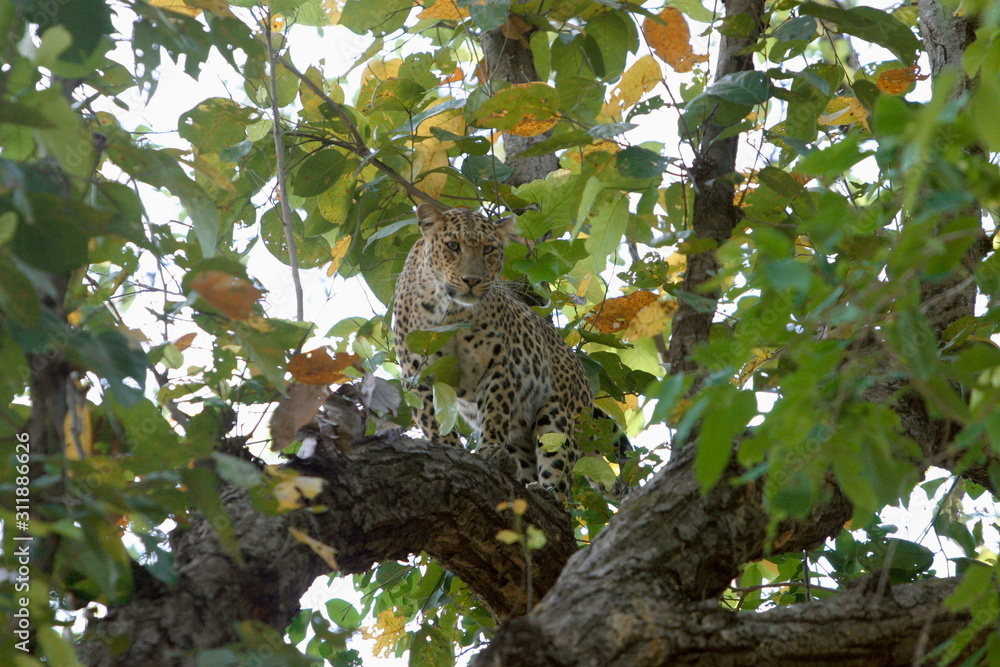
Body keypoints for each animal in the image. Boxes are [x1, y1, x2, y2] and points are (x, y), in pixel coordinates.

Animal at [392, 203, 627, 499]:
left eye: (489, 249)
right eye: (453, 246)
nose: (472, 280)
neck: (451, 311)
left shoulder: (499, 364)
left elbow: (495, 411)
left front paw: (491, 450)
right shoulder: (417, 373)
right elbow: (433, 421)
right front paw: (451, 450)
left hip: (558, 412)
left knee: (559, 470)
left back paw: (548, 493)